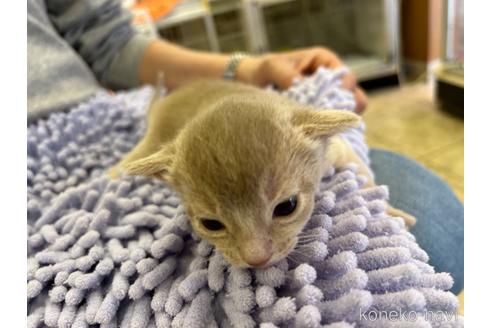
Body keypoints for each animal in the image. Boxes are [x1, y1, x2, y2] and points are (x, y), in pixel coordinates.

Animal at [108, 80, 416, 270]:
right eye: (211, 224)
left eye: (287, 207)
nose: (256, 259)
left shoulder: (337, 151)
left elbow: (365, 178)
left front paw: (392, 213)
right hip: (153, 139)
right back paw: (113, 173)